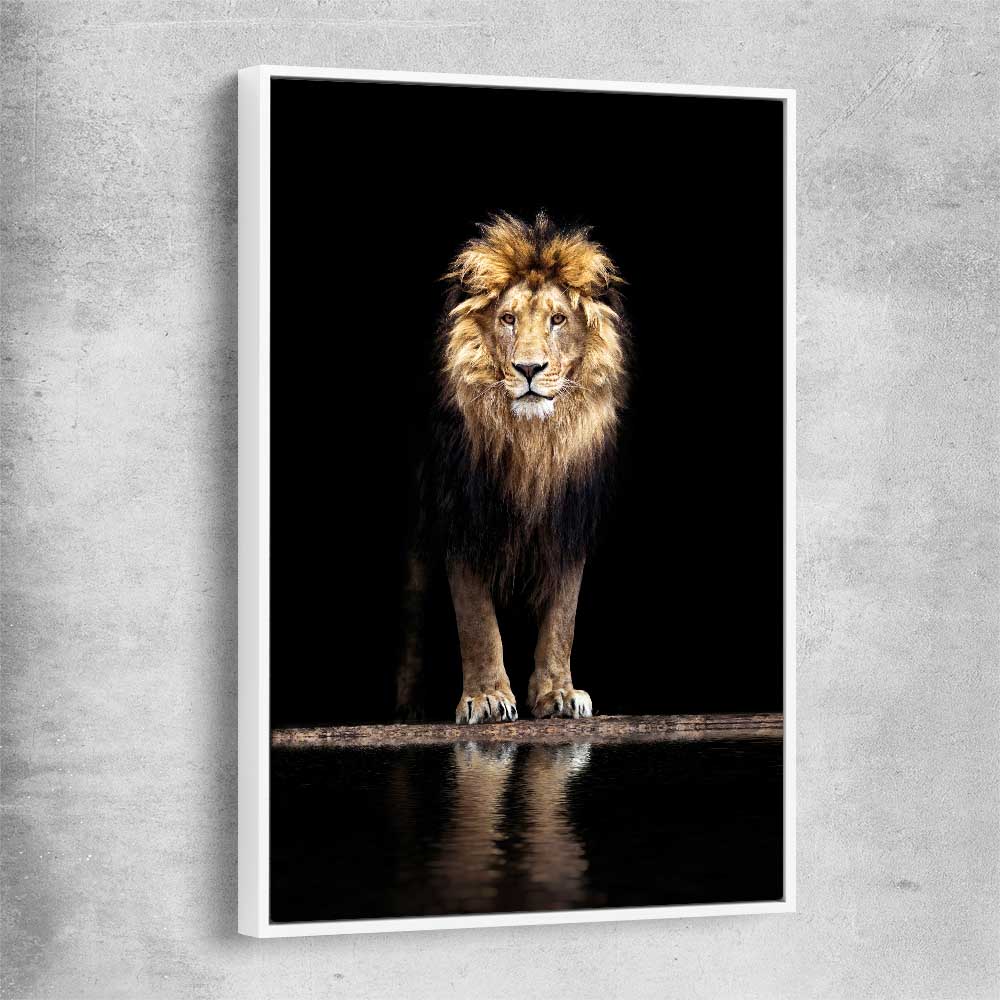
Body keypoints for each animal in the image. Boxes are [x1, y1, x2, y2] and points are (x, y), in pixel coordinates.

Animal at [397, 212, 629, 725]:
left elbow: (562, 618)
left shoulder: (567, 523)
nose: (528, 368)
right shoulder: (464, 516)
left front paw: (559, 694)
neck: (532, 443)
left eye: (558, 320)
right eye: (508, 319)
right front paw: (486, 698)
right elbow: (477, 621)